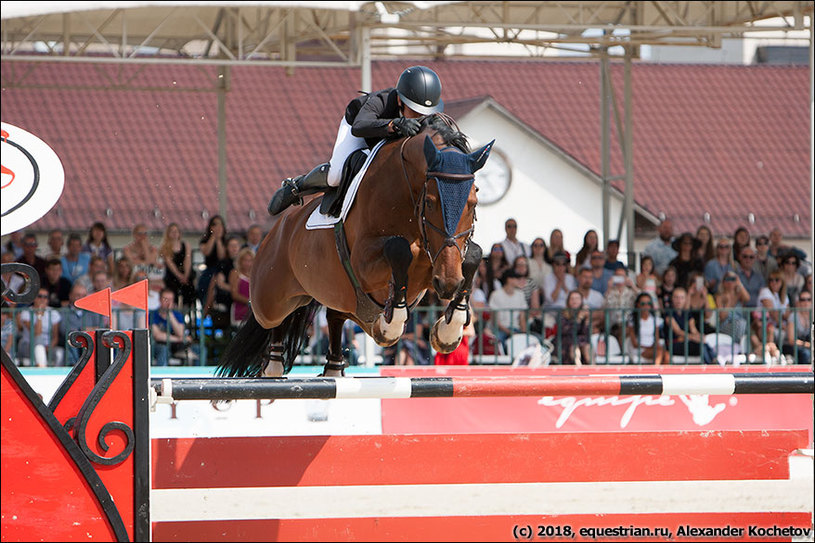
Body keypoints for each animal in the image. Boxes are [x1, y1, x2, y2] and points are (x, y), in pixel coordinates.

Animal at [217, 115, 494, 378]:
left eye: (473, 201)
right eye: (430, 201)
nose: (447, 283)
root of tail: (275, 230)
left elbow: (474, 254)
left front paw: (449, 330)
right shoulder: (364, 265)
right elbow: (400, 249)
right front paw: (390, 325)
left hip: (339, 298)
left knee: (334, 316)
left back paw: (333, 366)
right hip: (269, 300)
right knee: (275, 320)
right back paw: (274, 362)